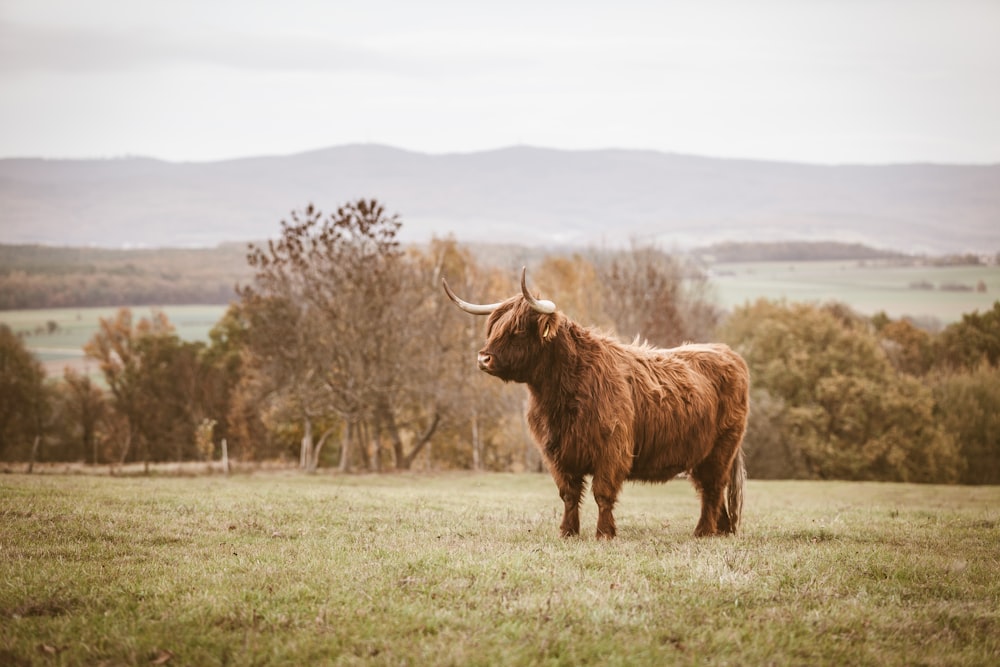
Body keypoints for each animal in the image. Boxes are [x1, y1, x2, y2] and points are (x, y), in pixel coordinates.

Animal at [442, 268, 748, 540]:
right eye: (492, 328)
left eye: (518, 330)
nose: (483, 358)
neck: (560, 395)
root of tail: (728, 353)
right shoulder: (557, 453)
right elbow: (568, 495)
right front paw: (567, 532)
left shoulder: (611, 449)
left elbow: (602, 493)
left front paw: (604, 533)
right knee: (712, 490)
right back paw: (722, 530)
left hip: (721, 448)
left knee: (712, 488)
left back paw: (703, 531)